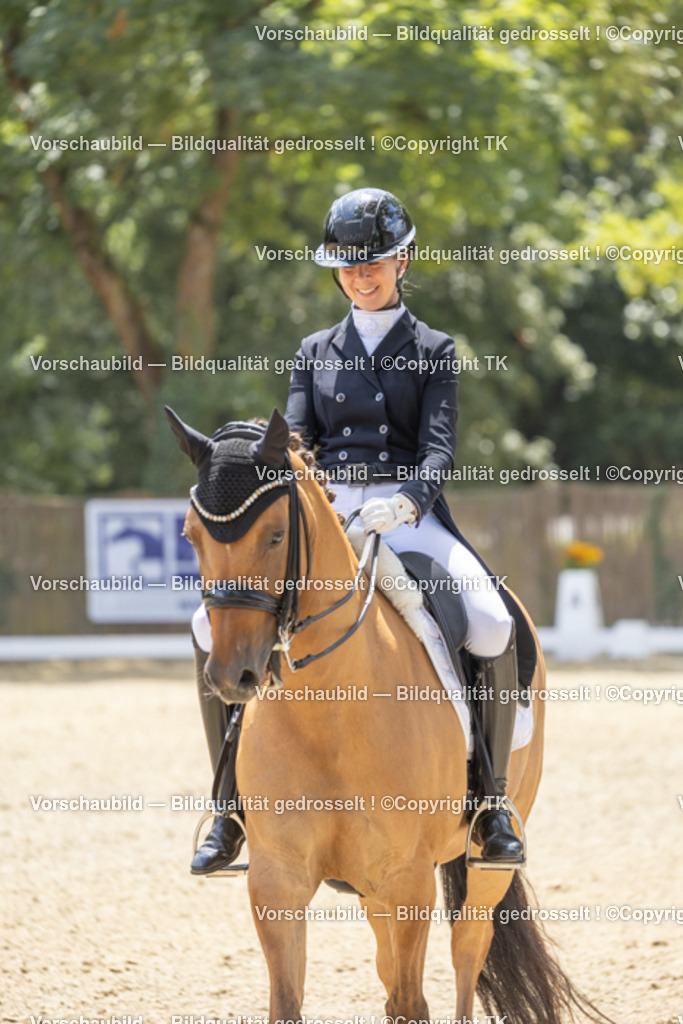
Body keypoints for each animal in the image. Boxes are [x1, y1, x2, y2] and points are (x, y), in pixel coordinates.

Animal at [168, 406, 612, 1024]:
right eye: (191, 536)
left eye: (276, 535)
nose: (233, 677)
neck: (327, 710)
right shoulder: (278, 881)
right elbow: (291, 1001)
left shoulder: (407, 881)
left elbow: (412, 999)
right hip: (369, 887)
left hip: (482, 858)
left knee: (467, 948)